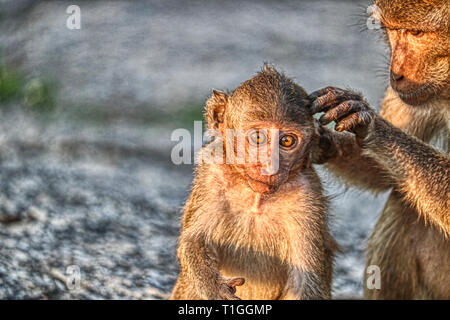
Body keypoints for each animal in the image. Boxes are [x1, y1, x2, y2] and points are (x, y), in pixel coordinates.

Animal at [171, 65, 336, 300]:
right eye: (258, 137)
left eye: (287, 141)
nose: (270, 165)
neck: (256, 196)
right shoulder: (212, 174)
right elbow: (193, 241)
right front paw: (215, 288)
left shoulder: (307, 195)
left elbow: (307, 281)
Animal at [312, 0, 448, 300]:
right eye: (394, 31)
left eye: (417, 33)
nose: (396, 74)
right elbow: (381, 175)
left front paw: (372, 124)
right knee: (406, 207)